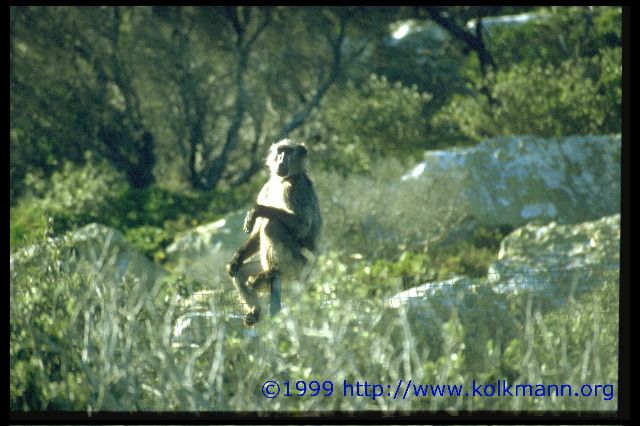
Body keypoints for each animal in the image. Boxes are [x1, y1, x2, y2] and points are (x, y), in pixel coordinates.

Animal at [226, 139, 322, 326]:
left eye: (289, 152)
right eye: (280, 151)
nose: (281, 161)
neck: (282, 181)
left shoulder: (295, 189)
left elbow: (302, 226)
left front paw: (257, 210)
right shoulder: (267, 188)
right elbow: (256, 234)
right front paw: (236, 259)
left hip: (299, 265)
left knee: (272, 226)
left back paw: (271, 272)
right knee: (240, 274)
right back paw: (256, 311)